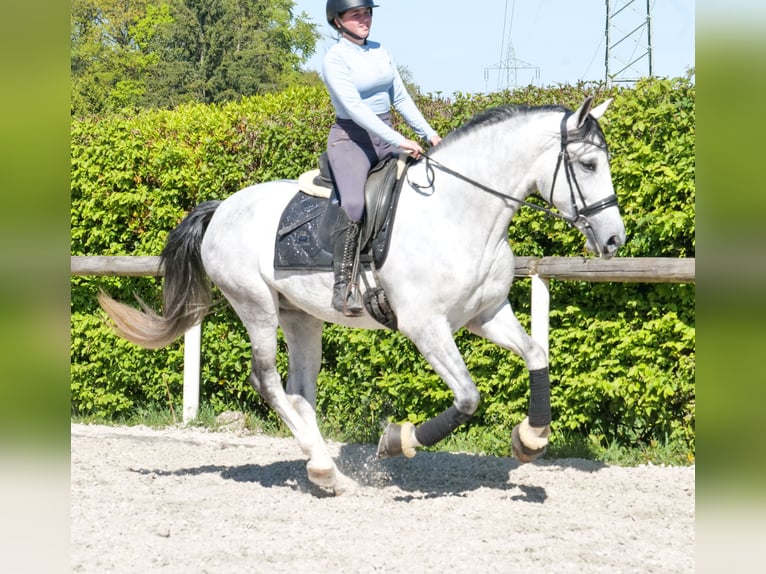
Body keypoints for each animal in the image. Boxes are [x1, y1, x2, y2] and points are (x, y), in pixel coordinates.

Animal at [98, 96, 625, 495]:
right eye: (588, 164)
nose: (615, 240)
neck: (460, 214)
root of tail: (222, 207)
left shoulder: (487, 314)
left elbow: (537, 354)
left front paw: (530, 440)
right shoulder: (426, 326)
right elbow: (468, 397)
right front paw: (397, 441)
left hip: (300, 316)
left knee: (299, 391)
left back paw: (327, 470)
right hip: (256, 307)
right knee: (266, 381)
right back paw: (325, 469)